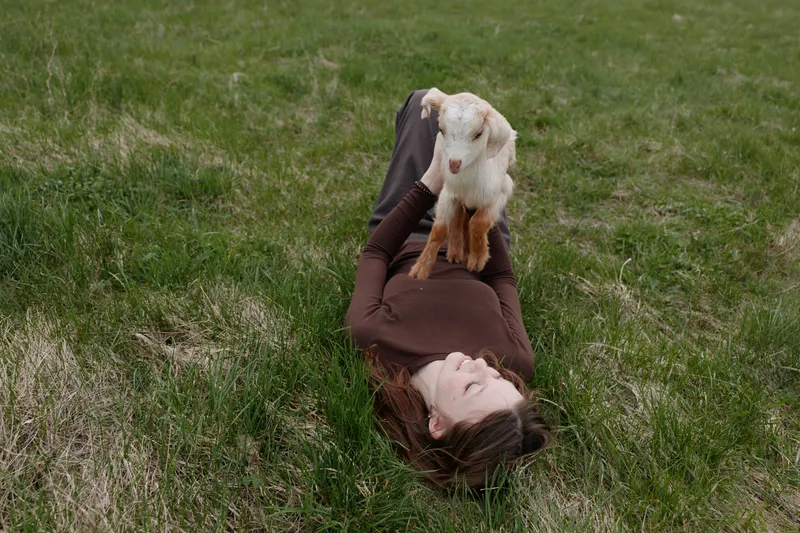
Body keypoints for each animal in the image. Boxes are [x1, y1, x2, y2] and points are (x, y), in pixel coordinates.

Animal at [409, 88, 517, 280]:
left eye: (479, 134)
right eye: (441, 129)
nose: (454, 164)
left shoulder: (501, 190)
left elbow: (478, 223)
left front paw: (477, 259)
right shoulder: (448, 192)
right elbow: (439, 230)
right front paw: (420, 269)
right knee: (459, 216)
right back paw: (456, 251)